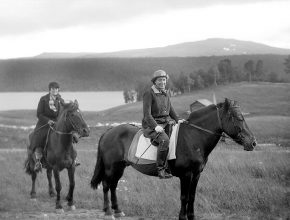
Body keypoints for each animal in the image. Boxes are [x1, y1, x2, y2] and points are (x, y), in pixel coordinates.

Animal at [90, 99, 256, 220]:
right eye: (238, 118)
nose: (253, 143)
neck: (193, 137)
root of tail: (109, 131)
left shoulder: (196, 174)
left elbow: (192, 196)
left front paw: (191, 216)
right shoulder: (186, 175)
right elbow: (184, 197)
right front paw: (182, 217)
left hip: (120, 167)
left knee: (113, 185)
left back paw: (117, 211)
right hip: (111, 167)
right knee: (107, 184)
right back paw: (109, 211)